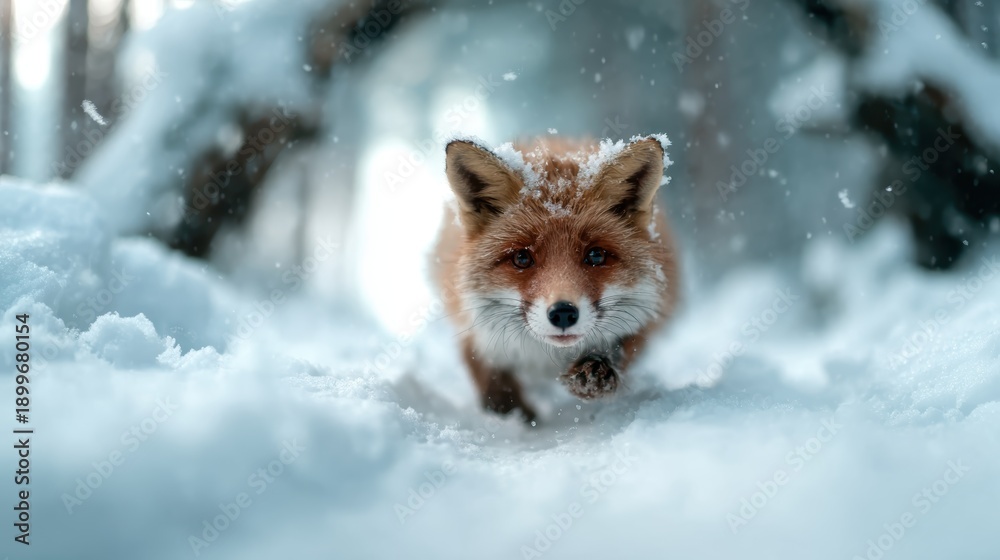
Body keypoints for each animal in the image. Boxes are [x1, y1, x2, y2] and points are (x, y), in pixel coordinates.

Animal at [433, 135, 680, 421]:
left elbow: (622, 348)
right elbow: (490, 377)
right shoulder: (474, 331)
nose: (563, 313)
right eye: (522, 258)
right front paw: (511, 416)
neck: (547, 358)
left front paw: (596, 370)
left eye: (596, 255)